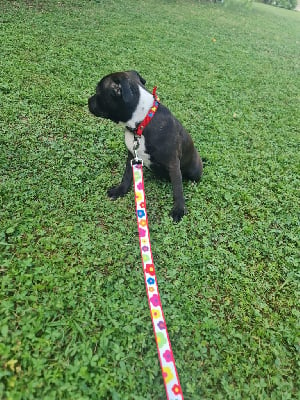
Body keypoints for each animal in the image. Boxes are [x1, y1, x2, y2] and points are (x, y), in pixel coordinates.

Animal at [88, 72, 203, 222]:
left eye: (98, 92)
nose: (88, 100)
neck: (141, 123)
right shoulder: (132, 156)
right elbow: (126, 175)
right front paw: (120, 190)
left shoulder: (173, 163)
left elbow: (178, 189)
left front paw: (179, 210)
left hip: (194, 171)